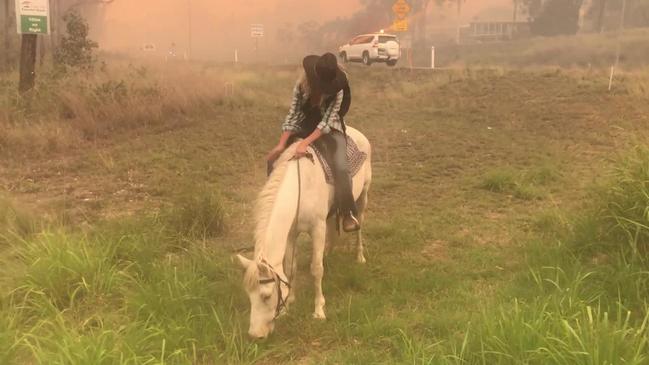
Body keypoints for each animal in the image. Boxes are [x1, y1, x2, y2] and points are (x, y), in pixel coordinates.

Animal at [235, 126, 372, 338]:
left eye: (266, 296)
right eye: (249, 295)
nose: (255, 335)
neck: (300, 187)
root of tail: (357, 132)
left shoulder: (317, 228)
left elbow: (316, 269)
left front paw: (319, 310)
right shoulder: (292, 234)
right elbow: (290, 268)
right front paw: (288, 304)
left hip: (362, 197)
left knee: (359, 227)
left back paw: (359, 257)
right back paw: (328, 253)